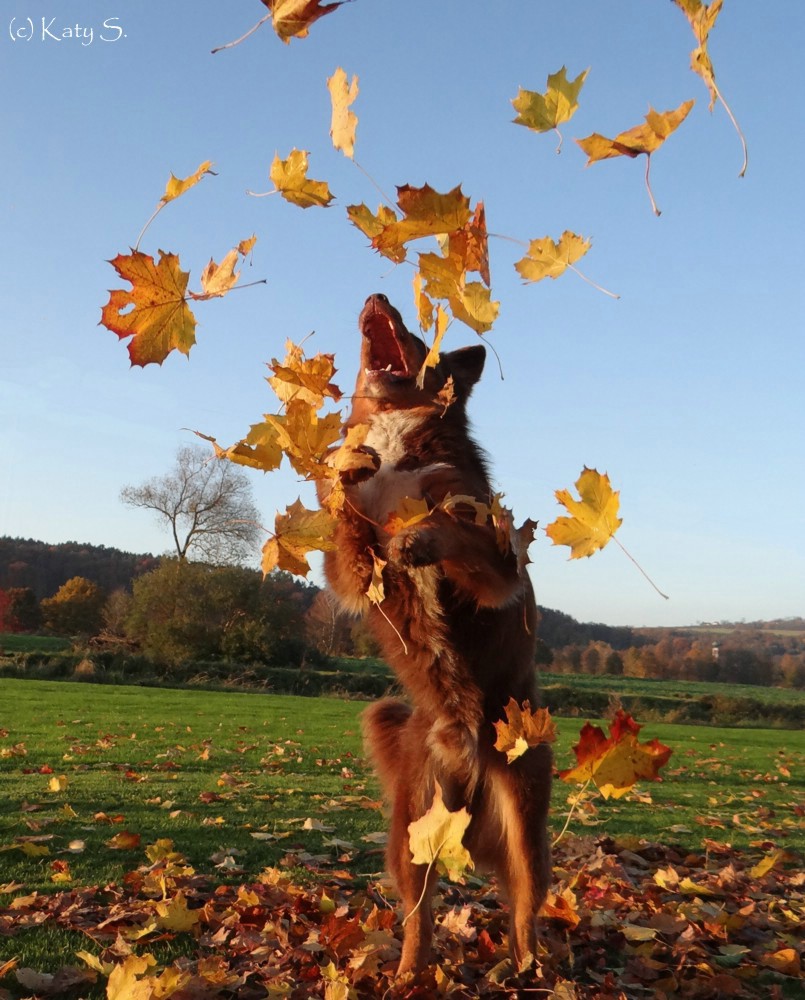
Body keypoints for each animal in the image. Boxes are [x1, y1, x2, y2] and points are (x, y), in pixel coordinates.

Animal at [320, 292, 552, 972]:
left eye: (420, 335)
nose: (377, 296)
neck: (396, 439)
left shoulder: (499, 557)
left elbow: (451, 523)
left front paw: (418, 538)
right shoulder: (349, 570)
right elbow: (344, 512)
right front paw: (346, 467)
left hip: (524, 811)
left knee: (525, 905)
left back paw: (529, 966)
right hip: (410, 829)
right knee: (417, 912)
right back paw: (407, 972)